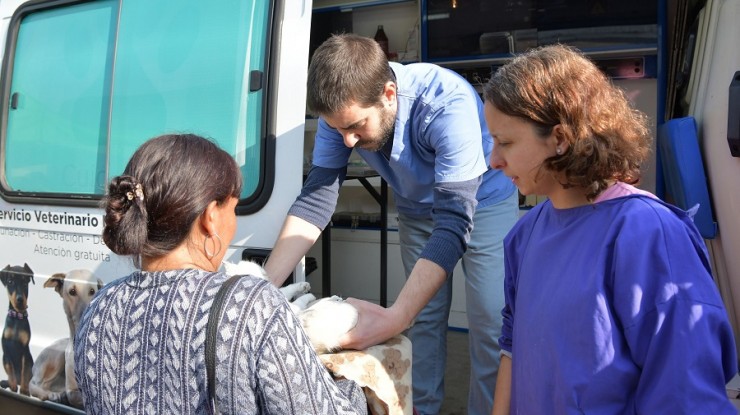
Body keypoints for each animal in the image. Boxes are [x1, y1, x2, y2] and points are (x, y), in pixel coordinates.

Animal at [0, 264, 35, 396]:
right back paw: (6, 383)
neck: (17, 316)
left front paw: (24, 391)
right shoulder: (6, 349)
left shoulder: (25, 350)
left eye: (25, 283)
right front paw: (13, 386)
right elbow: (10, 368)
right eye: (10, 282)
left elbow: (25, 371)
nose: (20, 300)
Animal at [28, 270, 102, 410]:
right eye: (72, 291)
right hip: (57, 356)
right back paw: (52, 395)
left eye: (92, 291)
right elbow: (74, 395)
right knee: (35, 383)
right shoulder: (73, 388)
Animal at [220, 260, 358, 354]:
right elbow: (300, 300)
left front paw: (303, 286)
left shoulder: (282, 293)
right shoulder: (293, 306)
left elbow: (288, 288)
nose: (268, 276)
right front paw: (309, 295)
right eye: (263, 274)